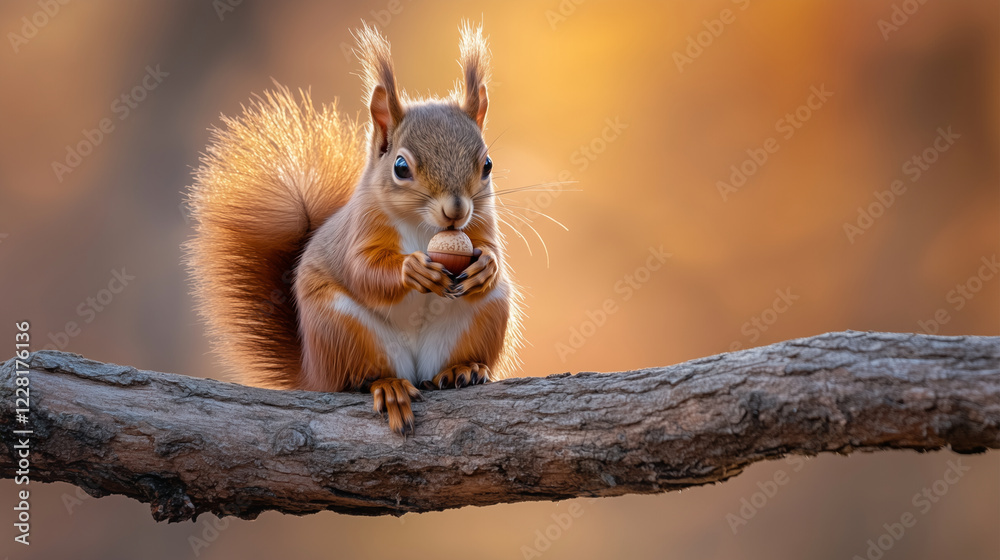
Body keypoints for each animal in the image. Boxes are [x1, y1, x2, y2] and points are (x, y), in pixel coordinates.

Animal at [185, 22, 522, 435]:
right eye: (400, 167)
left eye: (487, 164)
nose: (456, 211)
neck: (424, 227)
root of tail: (314, 372)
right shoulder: (362, 228)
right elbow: (363, 270)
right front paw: (412, 269)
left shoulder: (482, 221)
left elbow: (492, 250)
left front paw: (486, 266)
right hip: (341, 328)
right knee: (358, 377)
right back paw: (389, 386)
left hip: (487, 313)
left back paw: (463, 368)